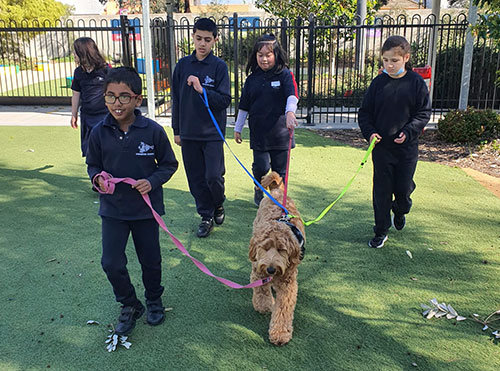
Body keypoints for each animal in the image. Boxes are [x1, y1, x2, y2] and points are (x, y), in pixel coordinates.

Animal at [249, 171, 304, 346]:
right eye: (265, 248)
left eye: (281, 250)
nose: (271, 269)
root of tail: (277, 191)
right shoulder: (258, 270)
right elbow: (261, 292)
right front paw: (265, 305)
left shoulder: (288, 284)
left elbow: (283, 310)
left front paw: (280, 333)